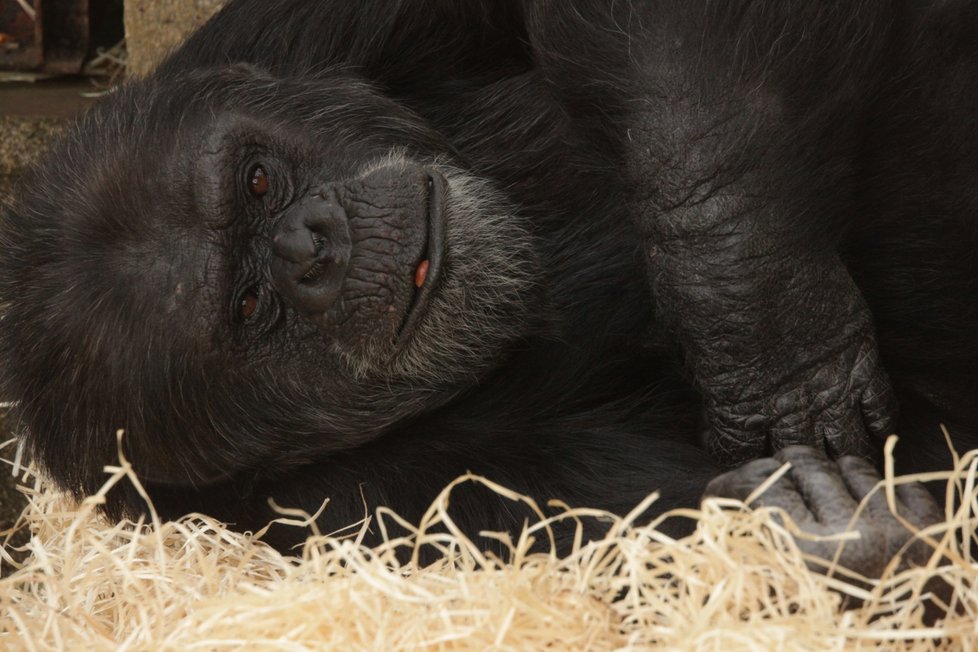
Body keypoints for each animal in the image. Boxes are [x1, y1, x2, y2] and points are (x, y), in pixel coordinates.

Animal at [1, 0, 976, 572]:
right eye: (249, 307)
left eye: (257, 182)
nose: (313, 247)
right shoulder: (387, 504)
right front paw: (851, 531)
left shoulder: (283, 39)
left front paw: (762, 314)